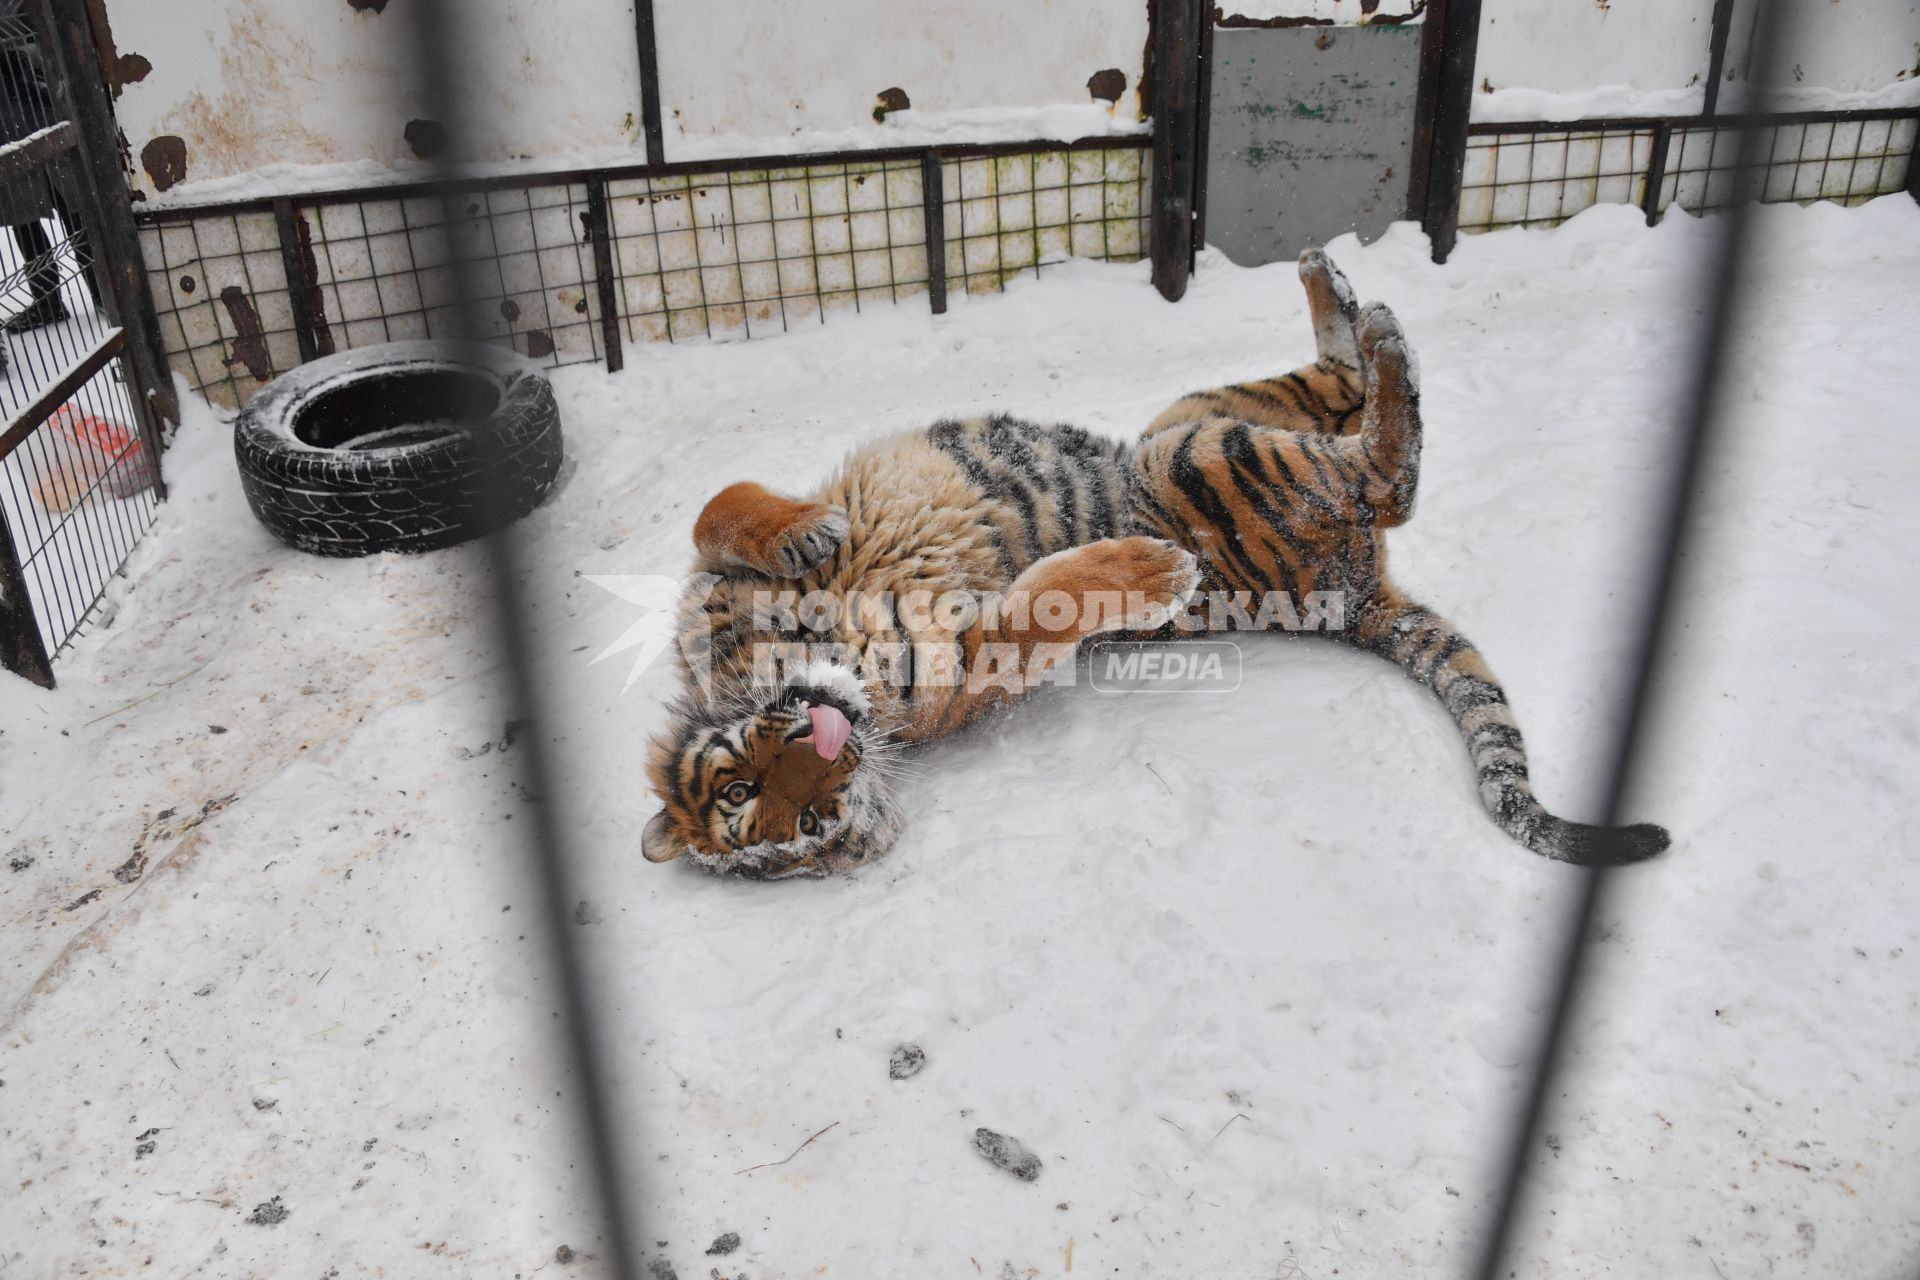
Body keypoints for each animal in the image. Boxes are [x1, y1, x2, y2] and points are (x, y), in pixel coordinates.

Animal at [641, 247, 1666, 882]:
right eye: (800, 826)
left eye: (738, 785)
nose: (835, 749)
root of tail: (1358, 590)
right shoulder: (965, 666)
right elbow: (1040, 602)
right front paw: (1155, 573)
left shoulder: (708, 588)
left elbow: (717, 505)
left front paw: (808, 528)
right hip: (1210, 458)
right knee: (1387, 473)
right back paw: (1371, 332)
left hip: (1191, 420)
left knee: (1346, 394)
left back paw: (1338, 286)